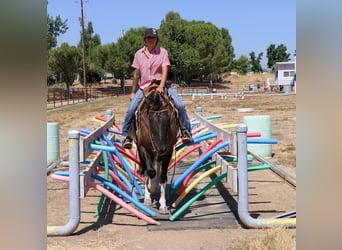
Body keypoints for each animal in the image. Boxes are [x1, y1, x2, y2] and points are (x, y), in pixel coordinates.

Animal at [130, 85, 180, 214]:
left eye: (168, 119)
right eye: (150, 120)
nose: (161, 148)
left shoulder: (168, 151)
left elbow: (162, 176)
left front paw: (163, 205)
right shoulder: (143, 148)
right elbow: (150, 171)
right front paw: (150, 190)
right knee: (147, 169)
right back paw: (148, 195)